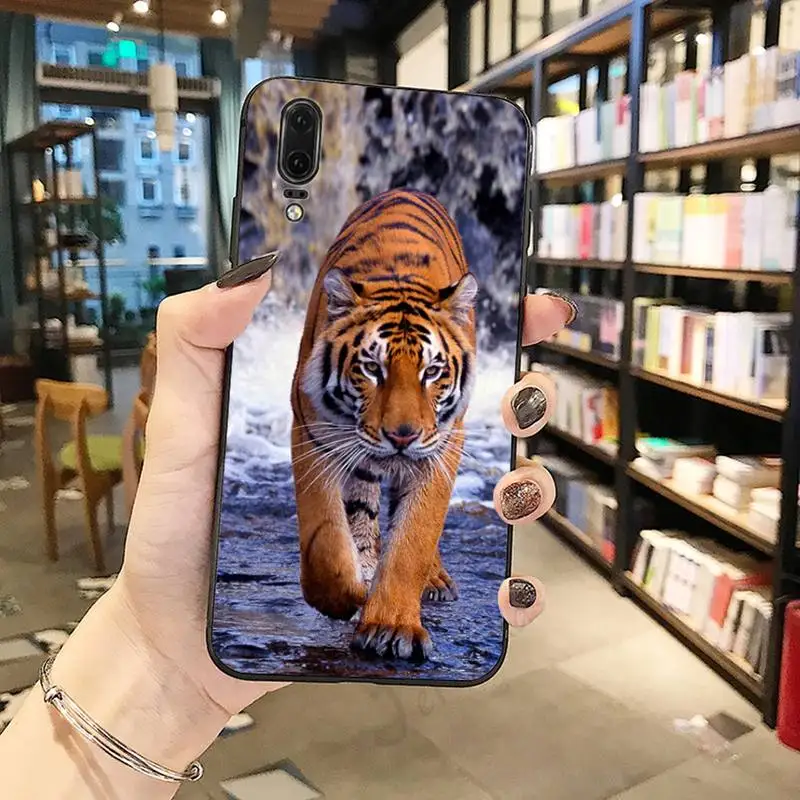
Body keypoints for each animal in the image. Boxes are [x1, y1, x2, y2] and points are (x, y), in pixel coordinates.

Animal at [290, 188, 478, 662]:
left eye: (433, 371)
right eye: (372, 368)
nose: (402, 436)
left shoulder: (442, 446)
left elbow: (414, 539)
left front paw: (391, 626)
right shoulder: (314, 435)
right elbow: (325, 540)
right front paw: (346, 596)